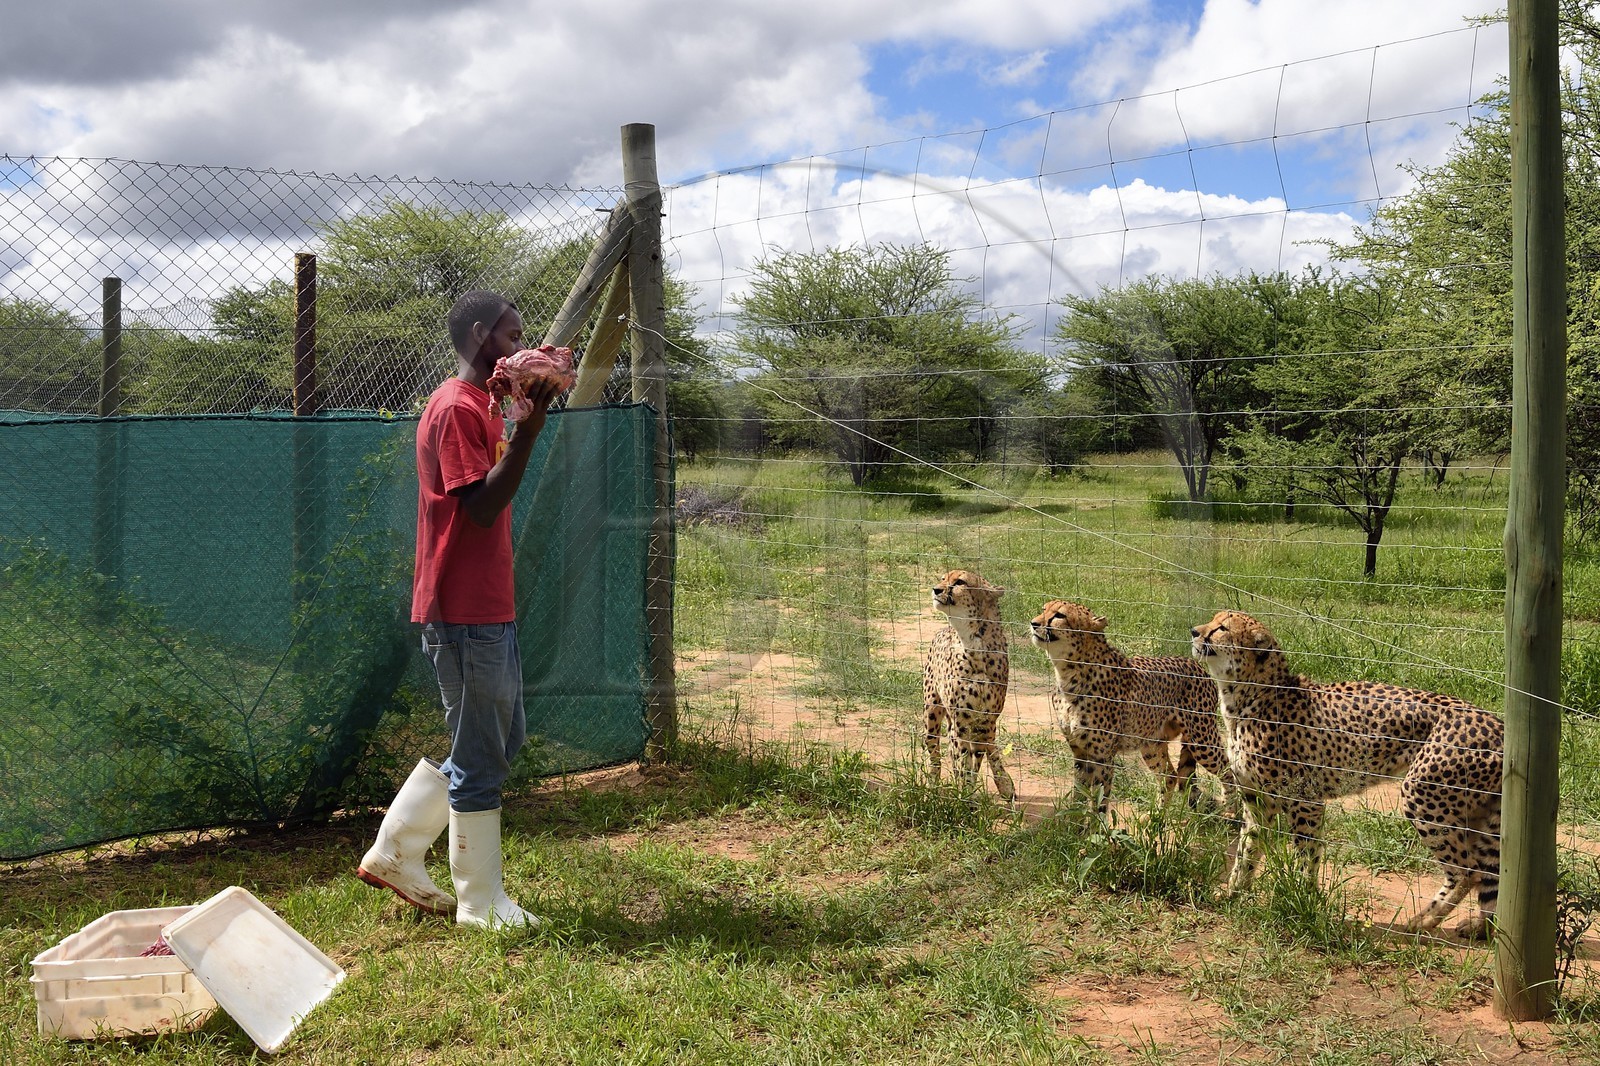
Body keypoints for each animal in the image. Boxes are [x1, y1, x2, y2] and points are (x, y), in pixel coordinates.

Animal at [922, 569, 1015, 802]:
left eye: (959, 582)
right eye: (943, 579)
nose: (936, 589)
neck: (974, 643)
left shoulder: (983, 720)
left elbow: (975, 761)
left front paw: (970, 793)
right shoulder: (961, 721)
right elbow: (962, 761)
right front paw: (963, 797)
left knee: (987, 746)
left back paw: (1005, 784)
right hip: (932, 712)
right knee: (934, 750)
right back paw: (932, 786)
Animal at [1030, 600, 1230, 813]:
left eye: (1059, 615)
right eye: (1044, 610)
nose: (1033, 623)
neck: (1069, 674)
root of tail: (1196, 665)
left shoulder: (1103, 756)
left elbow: (1099, 802)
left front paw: (1095, 822)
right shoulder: (1080, 752)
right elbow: (1079, 796)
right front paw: (1072, 820)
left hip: (1201, 740)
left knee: (1228, 770)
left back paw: (1232, 810)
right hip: (1152, 743)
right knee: (1169, 776)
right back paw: (1154, 818)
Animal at [1190, 610, 1503, 939]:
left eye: (1222, 628)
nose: (1194, 632)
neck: (1246, 696)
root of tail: (1497, 724)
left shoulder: (1306, 801)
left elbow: (1307, 855)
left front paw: (1304, 902)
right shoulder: (1257, 801)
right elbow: (1247, 850)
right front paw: (1233, 892)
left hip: (1422, 796)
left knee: (1468, 870)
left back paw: (1422, 922)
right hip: (1477, 813)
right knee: (1491, 873)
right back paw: (1480, 927)